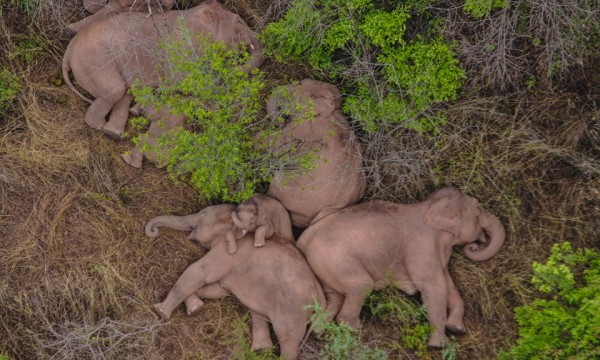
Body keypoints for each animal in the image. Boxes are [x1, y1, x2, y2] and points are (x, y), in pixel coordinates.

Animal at [62, 0, 264, 141]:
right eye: (239, 22)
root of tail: (68, 51)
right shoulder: (180, 50)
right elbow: (187, 82)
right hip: (95, 61)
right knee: (116, 89)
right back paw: (100, 127)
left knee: (126, 92)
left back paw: (116, 133)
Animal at [145, 204, 326, 358]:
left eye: (203, 213)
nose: (154, 231)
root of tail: (320, 294)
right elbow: (217, 289)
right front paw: (195, 309)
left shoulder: (227, 253)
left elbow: (199, 272)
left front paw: (161, 311)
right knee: (259, 313)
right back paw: (261, 349)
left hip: (294, 309)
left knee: (288, 337)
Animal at [296, 188, 506, 348]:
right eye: (478, 209)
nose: (475, 246)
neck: (429, 205)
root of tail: (303, 240)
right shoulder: (421, 247)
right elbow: (433, 287)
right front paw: (440, 345)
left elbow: (448, 284)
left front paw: (456, 329)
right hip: (334, 258)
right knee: (361, 286)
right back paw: (355, 329)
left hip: (325, 266)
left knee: (335, 296)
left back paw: (318, 333)